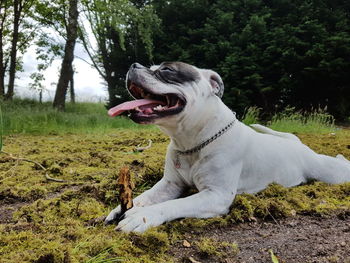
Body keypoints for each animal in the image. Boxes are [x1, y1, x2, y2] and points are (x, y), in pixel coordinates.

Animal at [104, 62, 350, 233]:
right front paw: (122, 209)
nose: (134, 65)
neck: (192, 141)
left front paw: (142, 216)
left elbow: (175, 204)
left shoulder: (215, 195)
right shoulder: (169, 185)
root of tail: (298, 145)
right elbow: (146, 196)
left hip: (331, 173)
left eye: (167, 70)